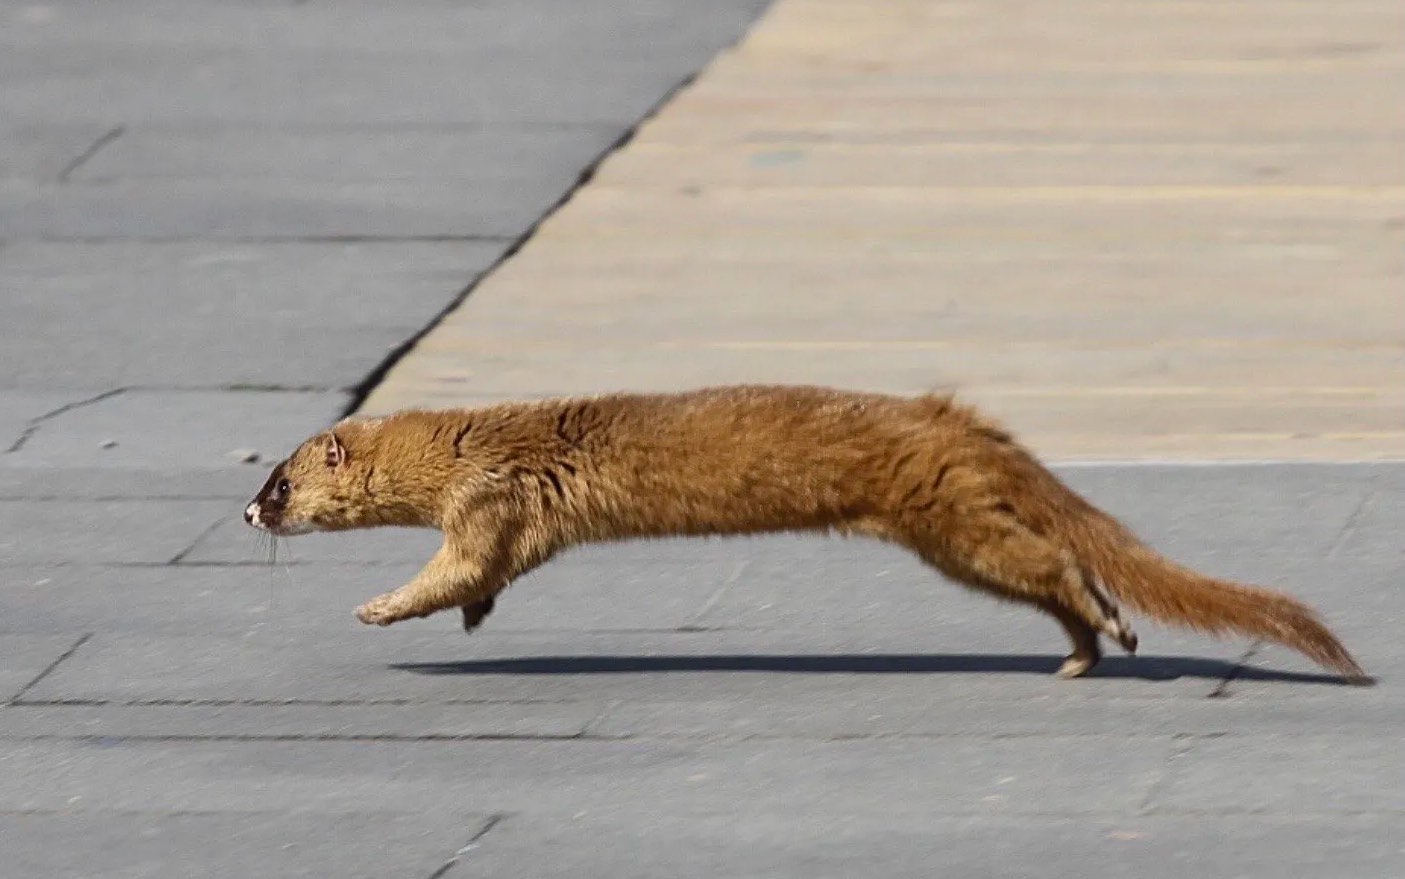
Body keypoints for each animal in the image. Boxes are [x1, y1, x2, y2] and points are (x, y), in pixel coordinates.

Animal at [244, 384, 1371, 685]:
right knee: (1046, 572)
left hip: (946, 521)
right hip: (958, 530)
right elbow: (490, 572)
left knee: (1054, 560)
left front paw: (377, 606)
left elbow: (453, 564)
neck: (474, 437)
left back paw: (1111, 631)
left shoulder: (489, 498)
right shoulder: (522, 522)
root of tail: (953, 416)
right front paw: (474, 615)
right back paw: (1082, 653)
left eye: (279, 478)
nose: (246, 510)